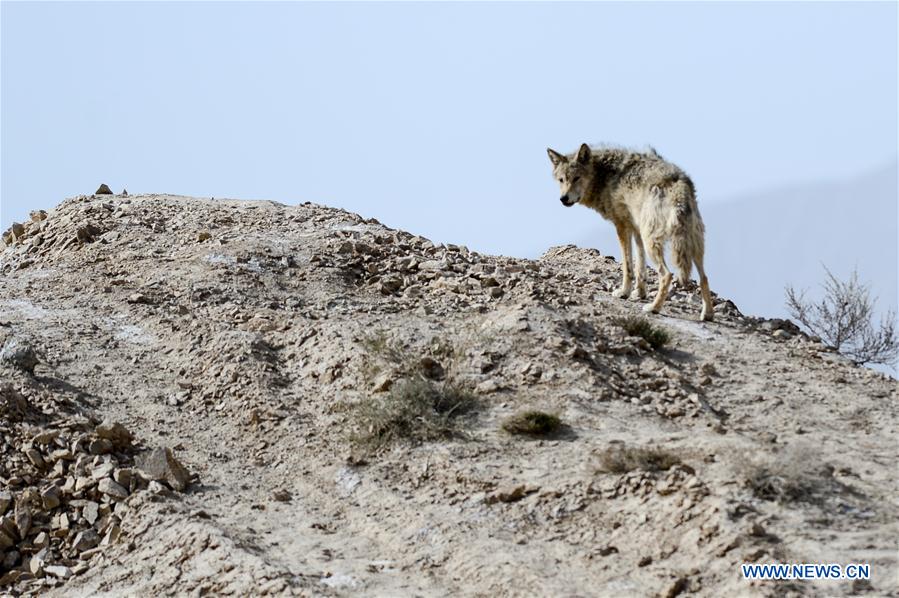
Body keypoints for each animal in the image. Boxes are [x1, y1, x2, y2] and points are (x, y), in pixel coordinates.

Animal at [544, 145, 712, 322]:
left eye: (577, 178)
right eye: (561, 180)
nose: (563, 198)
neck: (604, 175)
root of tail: (680, 189)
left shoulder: (621, 226)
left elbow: (627, 265)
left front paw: (624, 292)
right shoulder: (636, 230)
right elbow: (640, 265)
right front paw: (639, 293)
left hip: (652, 241)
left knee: (667, 275)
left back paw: (654, 308)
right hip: (692, 246)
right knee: (704, 277)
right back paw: (707, 314)